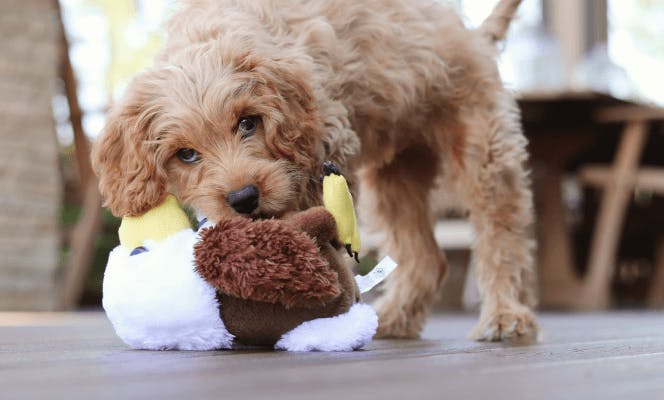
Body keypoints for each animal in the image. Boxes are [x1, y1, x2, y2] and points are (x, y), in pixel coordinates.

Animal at [93, 0, 540, 344]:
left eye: (248, 122)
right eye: (185, 154)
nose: (244, 199)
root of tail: (475, 36)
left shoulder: (323, 158)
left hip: (486, 154)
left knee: (503, 238)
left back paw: (506, 316)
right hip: (394, 180)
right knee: (426, 258)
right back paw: (394, 318)